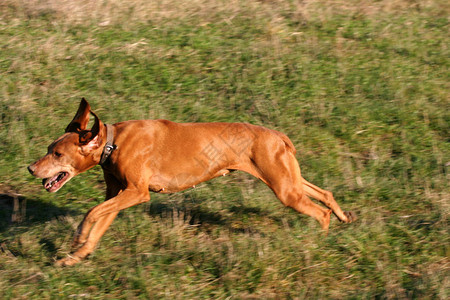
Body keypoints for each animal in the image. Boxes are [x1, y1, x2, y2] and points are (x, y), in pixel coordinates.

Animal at [28, 99, 356, 266]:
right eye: (49, 148)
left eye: (57, 154)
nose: (31, 168)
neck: (113, 142)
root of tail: (277, 135)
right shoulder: (118, 195)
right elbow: (99, 222)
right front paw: (76, 256)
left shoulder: (137, 193)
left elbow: (90, 213)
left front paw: (77, 238)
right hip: (290, 181)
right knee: (325, 194)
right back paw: (343, 217)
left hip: (285, 190)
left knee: (320, 212)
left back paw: (319, 241)